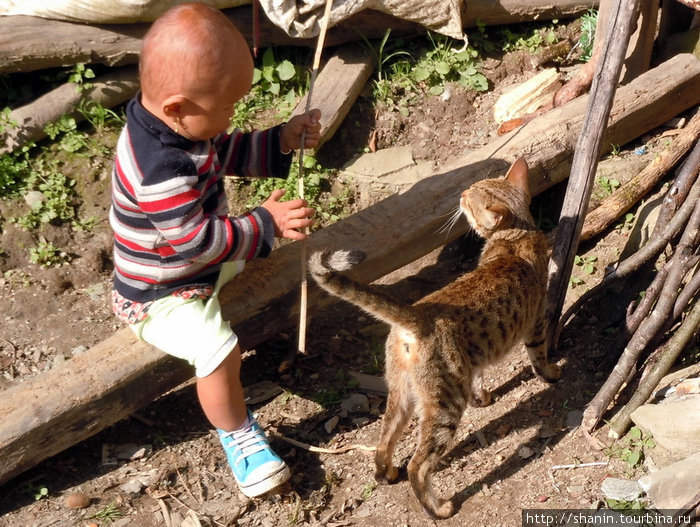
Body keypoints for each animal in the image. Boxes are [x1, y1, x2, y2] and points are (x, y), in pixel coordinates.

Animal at [308, 157, 560, 520]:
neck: (516, 233)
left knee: (384, 441)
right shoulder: (536, 324)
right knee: (419, 464)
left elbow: (479, 378)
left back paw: (387, 474)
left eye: (472, 195)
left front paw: (482, 398)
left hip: (402, 392)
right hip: (445, 403)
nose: (461, 193)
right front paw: (553, 374)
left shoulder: (476, 357)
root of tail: (417, 315)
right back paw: (438, 508)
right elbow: (539, 358)